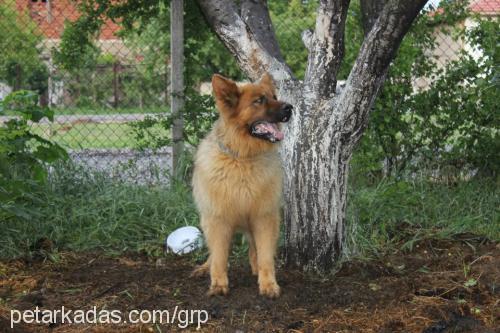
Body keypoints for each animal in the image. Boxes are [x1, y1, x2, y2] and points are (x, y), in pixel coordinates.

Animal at [191, 72, 292, 296]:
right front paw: (218, 284)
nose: (290, 107)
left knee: (255, 251)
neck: (242, 159)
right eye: (259, 101)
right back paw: (204, 268)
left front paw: (268, 284)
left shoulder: (263, 218)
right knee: (214, 253)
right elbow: (219, 258)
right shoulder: (218, 220)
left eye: (274, 96)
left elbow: (265, 256)